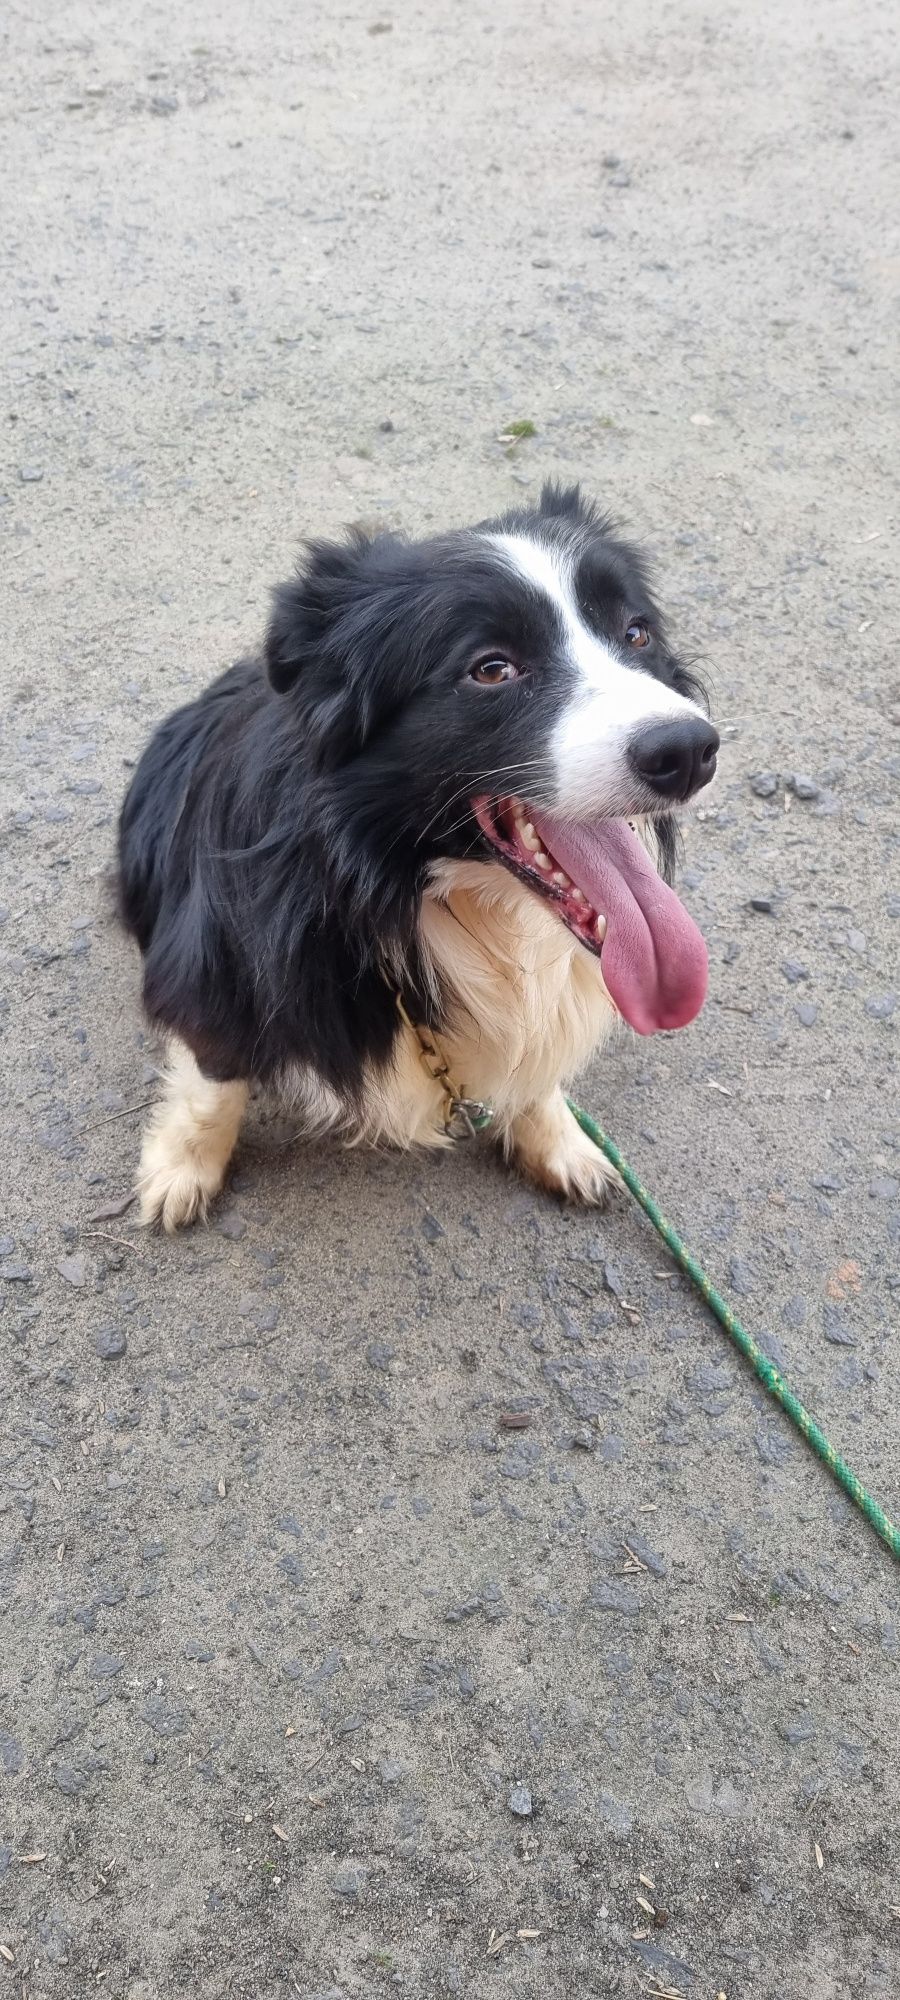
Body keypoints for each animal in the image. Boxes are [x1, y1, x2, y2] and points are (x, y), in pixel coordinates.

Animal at [118, 488, 716, 1232]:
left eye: (636, 634)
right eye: (491, 668)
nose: (689, 750)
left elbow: (538, 1066)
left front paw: (558, 1142)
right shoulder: (219, 968)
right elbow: (213, 1078)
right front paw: (182, 1169)